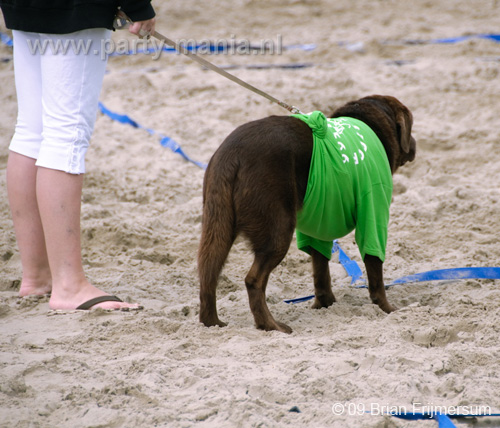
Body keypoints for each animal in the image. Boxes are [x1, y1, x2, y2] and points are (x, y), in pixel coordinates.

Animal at [197, 95, 416, 332]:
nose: (414, 143)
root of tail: (233, 155)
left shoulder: (320, 224)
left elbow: (321, 270)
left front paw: (326, 304)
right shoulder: (373, 214)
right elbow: (375, 271)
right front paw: (387, 309)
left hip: (218, 226)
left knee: (208, 273)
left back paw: (212, 322)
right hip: (278, 231)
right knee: (253, 280)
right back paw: (270, 325)